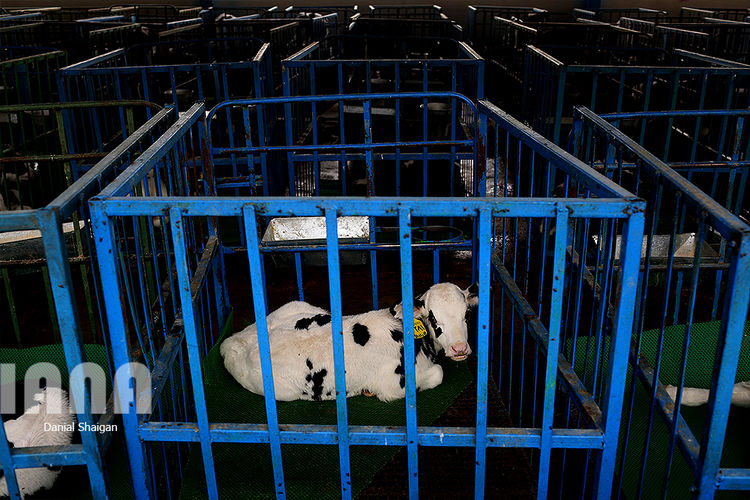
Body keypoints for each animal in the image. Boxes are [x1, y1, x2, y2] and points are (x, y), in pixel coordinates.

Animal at [221, 282, 478, 402]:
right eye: (433, 317)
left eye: (466, 314)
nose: (459, 348)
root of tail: (233, 342)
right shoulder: (393, 387)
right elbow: (438, 373)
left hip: (296, 305)